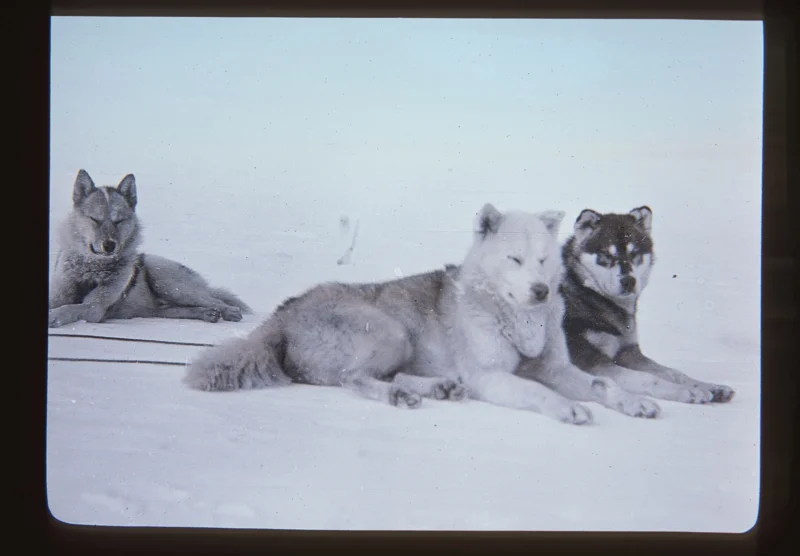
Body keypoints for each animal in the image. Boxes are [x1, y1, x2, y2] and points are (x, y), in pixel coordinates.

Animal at [50, 168, 250, 326]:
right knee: (182, 309)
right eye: (95, 219)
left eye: (119, 221)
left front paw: (54, 316)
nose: (109, 245)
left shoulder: (93, 308)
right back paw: (207, 314)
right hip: (161, 307)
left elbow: (70, 308)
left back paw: (229, 311)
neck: (91, 270)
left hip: (168, 282)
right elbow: (62, 303)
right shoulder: (59, 293)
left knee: (213, 299)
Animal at [188, 204, 620, 426]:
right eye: (515, 259)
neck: (513, 316)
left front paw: (630, 402)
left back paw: (437, 388)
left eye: (543, 260)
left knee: (386, 375)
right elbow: (538, 391)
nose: (541, 290)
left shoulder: (556, 368)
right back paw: (402, 395)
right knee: (356, 378)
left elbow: (601, 384)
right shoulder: (489, 377)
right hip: (391, 332)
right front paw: (568, 409)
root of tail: (284, 312)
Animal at [520, 206, 732, 406]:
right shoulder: (588, 359)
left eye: (635, 253)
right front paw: (686, 392)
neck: (589, 296)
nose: (628, 281)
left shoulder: (628, 352)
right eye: (605, 254)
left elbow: (672, 372)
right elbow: (647, 378)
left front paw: (710, 386)